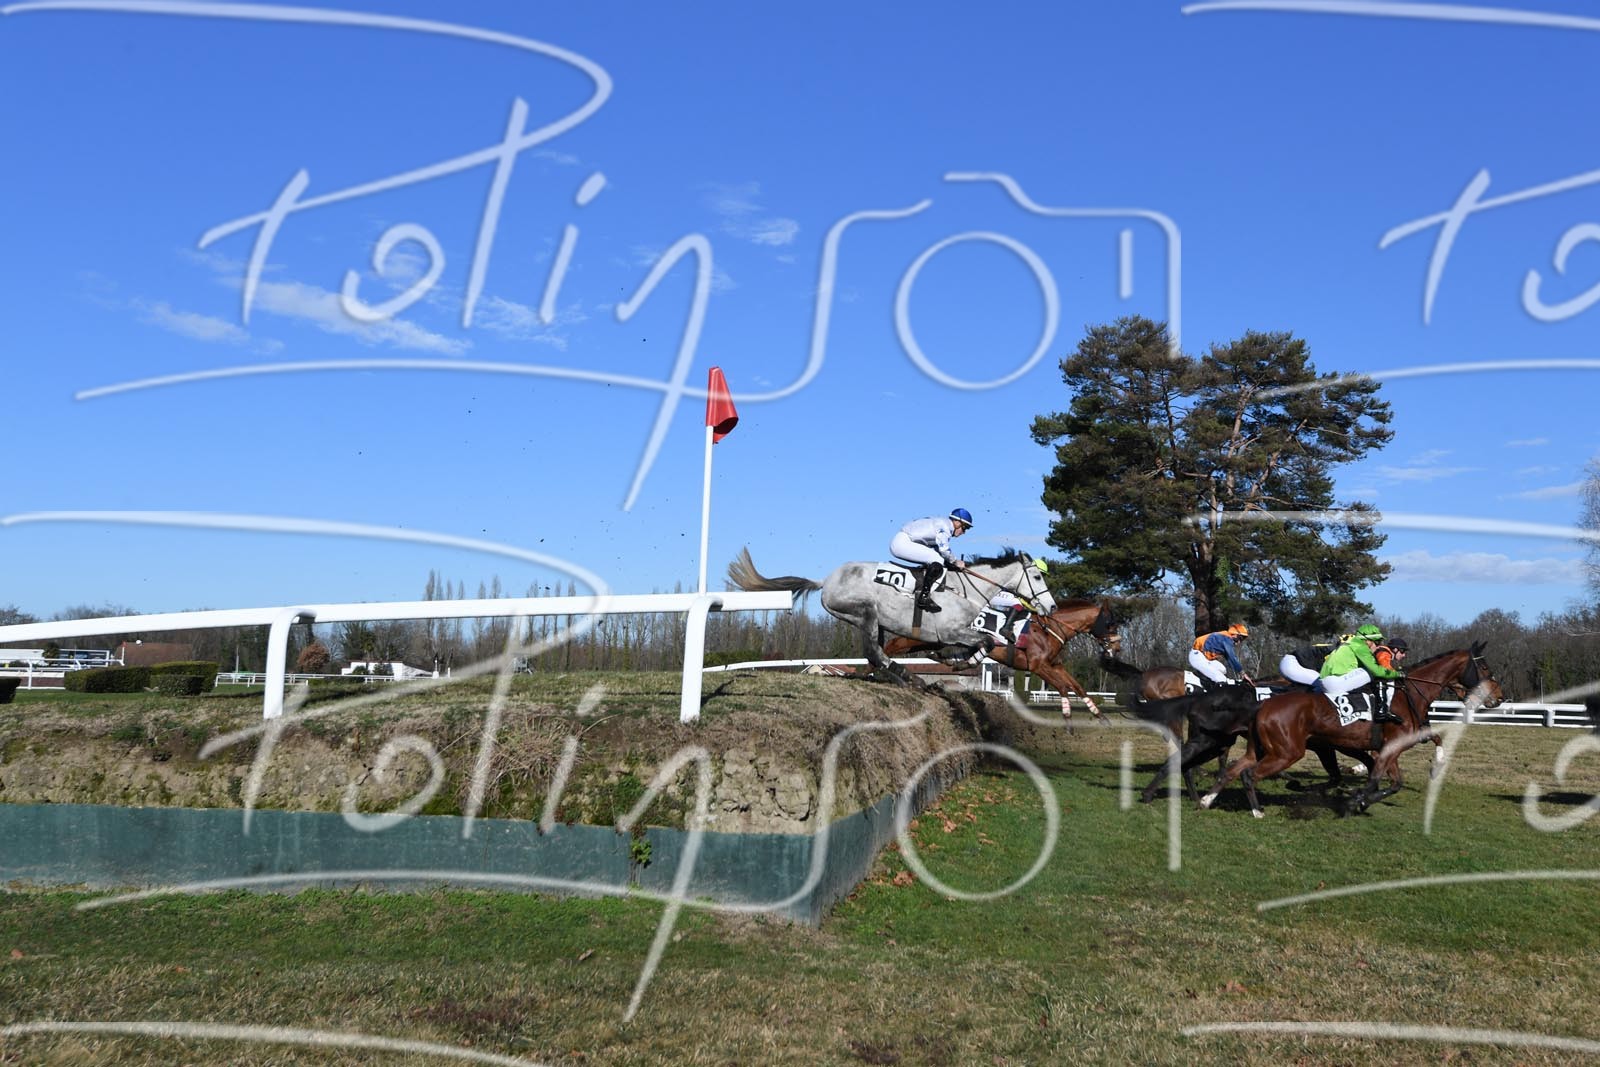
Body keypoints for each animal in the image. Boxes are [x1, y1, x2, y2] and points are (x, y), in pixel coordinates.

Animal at [726, 547, 1055, 687]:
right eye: (1038, 576)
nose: (1050, 607)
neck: (965, 589)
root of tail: (826, 581)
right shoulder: (952, 631)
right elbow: (984, 642)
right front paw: (957, 661)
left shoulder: (951, 634)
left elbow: (983, 643)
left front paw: (953, 660)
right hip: (865, 613)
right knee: (875, 653)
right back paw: (911, 679)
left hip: (872, 621)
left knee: (875, 654)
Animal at [884, 599, 1121, 729]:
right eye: (1110, 624)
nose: (1117, 648)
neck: (1050, 629)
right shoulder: (1037, 666)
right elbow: (1063, 687)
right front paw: (1068, 720)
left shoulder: (1054, 665)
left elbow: (1076, 687)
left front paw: (1100, 717)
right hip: (919, 639)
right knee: (891, 645)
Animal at [1200, 642, 1505, 818]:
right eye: (1485, 667)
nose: (1498, 698)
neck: (1404, 695)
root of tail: (1263, 706)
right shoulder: (1388, 747)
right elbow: (1376, 779)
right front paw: (1355, 801)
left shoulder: (1390, 747)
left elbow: (1397, 779)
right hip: (1287, 752)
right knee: (1249, 774)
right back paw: (1256, 811)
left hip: (1262, 749)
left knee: (1233, 770)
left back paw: (1206, 800)